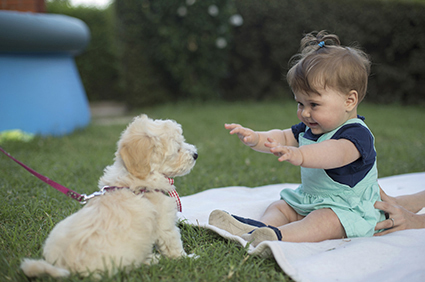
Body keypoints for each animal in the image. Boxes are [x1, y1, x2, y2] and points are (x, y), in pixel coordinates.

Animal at [20, 114, 199, 278]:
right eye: (177, 148)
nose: (196, 154)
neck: (135, 180)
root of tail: (64, 265)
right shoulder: (165, 223)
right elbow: (174, 244)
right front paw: (188, 258)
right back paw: (153, 260)